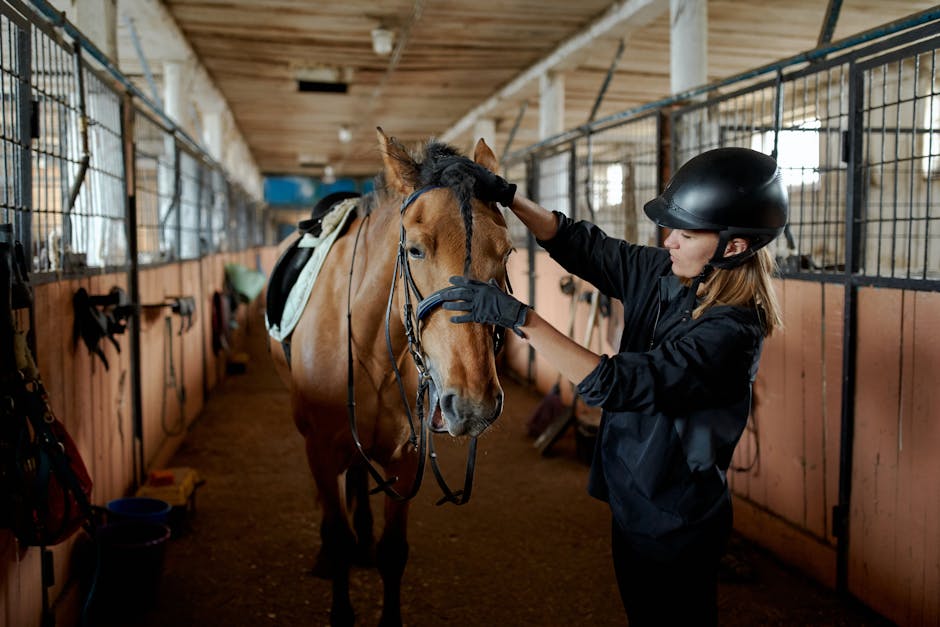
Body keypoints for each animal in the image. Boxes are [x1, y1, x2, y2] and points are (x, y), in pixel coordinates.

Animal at [264, 129, 516, 627]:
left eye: (507, 252)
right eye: (416, 249)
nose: (474, 402)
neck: (371, 347)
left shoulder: (405, 458)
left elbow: (393, 552)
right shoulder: (320, 449)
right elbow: (337, 534)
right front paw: (341, 600)